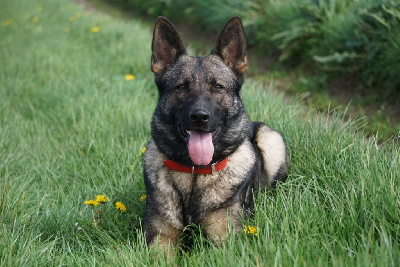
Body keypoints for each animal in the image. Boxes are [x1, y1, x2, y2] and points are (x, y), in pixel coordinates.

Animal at [143, 15, 288, 248]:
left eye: (218, 87)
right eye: (182, 87)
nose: (199, 117)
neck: (195, 173)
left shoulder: (225, 240)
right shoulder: (161, 238)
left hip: (271, 139)